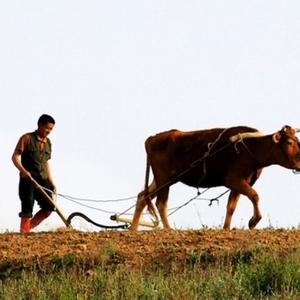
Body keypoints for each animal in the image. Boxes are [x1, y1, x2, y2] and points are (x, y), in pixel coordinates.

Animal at [130, 125, 300, 231]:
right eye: (289, 142)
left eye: (298, 141)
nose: (299, 162)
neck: (252, 147)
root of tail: (152, 138)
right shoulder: (233, 179)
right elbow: (254, 195)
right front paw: (253, 221)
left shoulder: (239, 183)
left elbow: (231, 206)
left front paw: (226, 228)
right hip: (164, 178)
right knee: (161, 203)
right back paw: (168, 230)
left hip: (164, 179)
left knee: (142, 197)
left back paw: (132, 230)